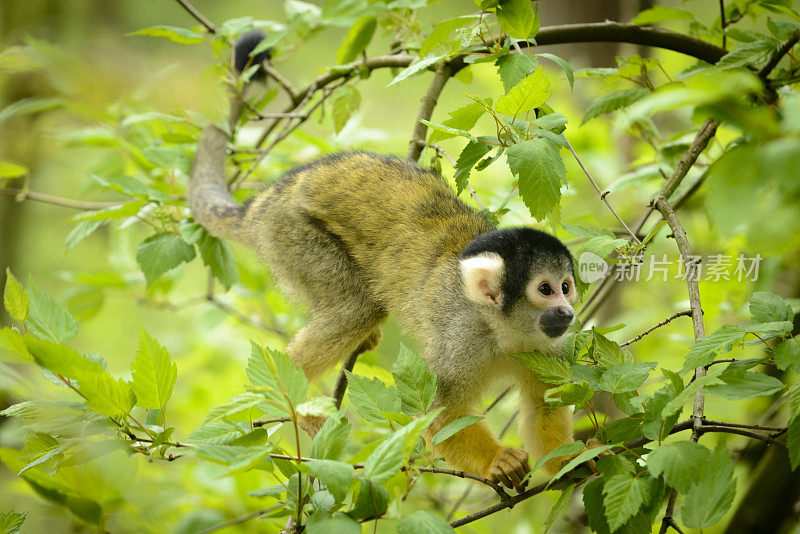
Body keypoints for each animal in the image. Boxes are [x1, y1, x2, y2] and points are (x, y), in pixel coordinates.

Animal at [188, 34, 576, 494]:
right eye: (545, 290)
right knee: (355, 307)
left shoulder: (549, 350)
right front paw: (499, 461)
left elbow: (545, 407)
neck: (503, 331)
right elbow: (440, 415)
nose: (568, 311)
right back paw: (297, 402)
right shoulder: (459, 339)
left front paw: (575, 461)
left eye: (566, 286)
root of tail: (267, 198)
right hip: (290, 233)